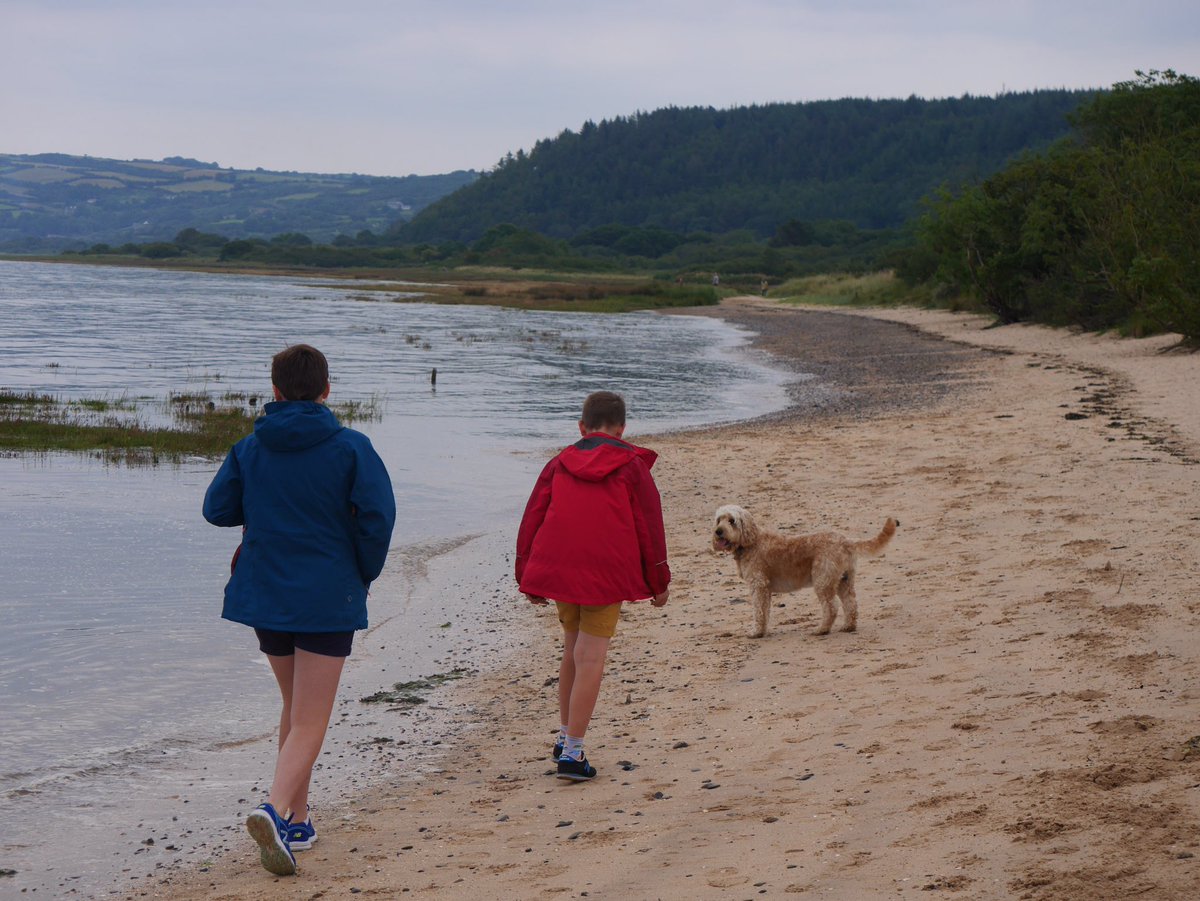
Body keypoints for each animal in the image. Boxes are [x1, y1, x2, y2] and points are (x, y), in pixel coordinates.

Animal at [705, 508, 897, 643]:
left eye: (732, 521)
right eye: (719, 520)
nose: (718, 531)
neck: (750, 541)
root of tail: (846, 541)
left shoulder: (758, 585)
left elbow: (758, 612)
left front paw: (756, 633)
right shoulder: (765, 590)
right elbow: (765, 612)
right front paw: (763, 631)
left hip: (823, 582)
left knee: (831, 607)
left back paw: (821, 630)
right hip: (844, 581)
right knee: (851, 604)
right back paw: (848, 627)